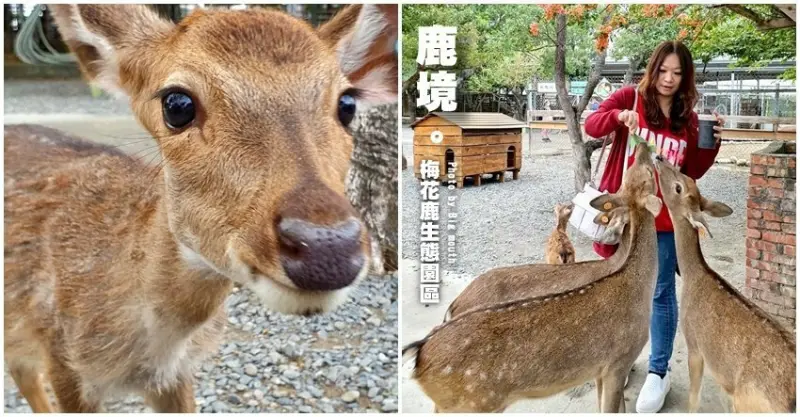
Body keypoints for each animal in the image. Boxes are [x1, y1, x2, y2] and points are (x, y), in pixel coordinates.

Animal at [403, 142, 663, 413]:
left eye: (630, 173)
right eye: (646, 172)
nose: (643, 146)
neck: (635, 284)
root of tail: (420, 353)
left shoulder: (601, 370)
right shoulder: (618, 360)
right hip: (473, 402)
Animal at [653, 156, 796, 413]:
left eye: (679, 187)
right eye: (687, 177)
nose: (659, 158)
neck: (693, 278)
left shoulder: (693, 341)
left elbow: (693, 398)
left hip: (749, 402)